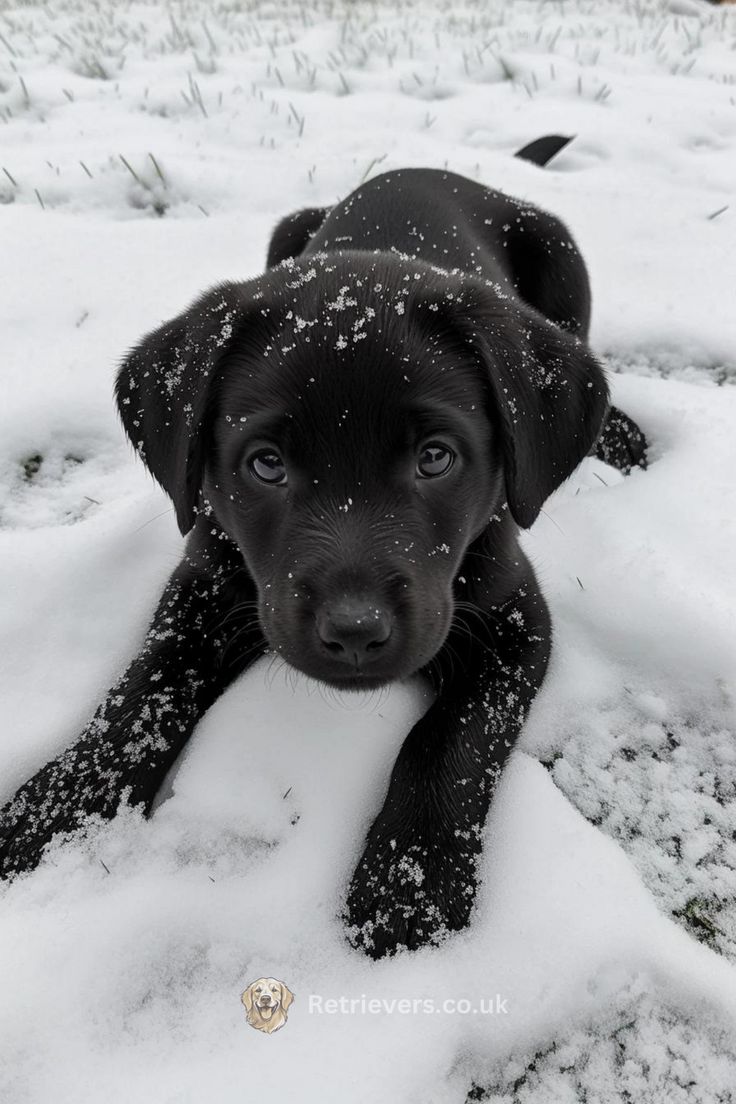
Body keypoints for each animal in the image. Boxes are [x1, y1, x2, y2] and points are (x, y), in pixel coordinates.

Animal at [0, 135, 644, 958]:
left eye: (436, 457)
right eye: (266, 464)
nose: (355, 631)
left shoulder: (516, 617)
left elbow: (454, 735)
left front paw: (411, 882)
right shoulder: (205, 579)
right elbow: (142, 691)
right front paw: (56, 809)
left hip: (561, 254)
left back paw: (619, 434)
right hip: (289, 226)